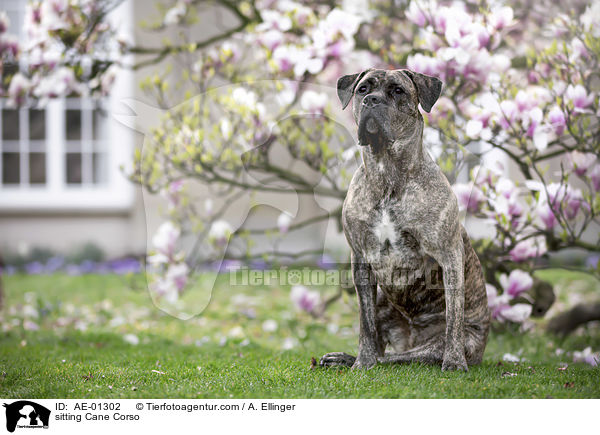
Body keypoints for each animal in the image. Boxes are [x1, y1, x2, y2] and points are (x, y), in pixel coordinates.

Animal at [322, 68, 490, 372]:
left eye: (398, 91)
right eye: (363, 89)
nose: (372, 100)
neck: (386, 172)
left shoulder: (449, 255)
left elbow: (454, 318)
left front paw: (454, 362)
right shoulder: (360, 259)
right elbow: (365, 323)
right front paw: (362, 362)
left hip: (438, 345)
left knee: (402, 357)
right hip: (382, 299)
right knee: (382, 345)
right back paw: (348, 359)